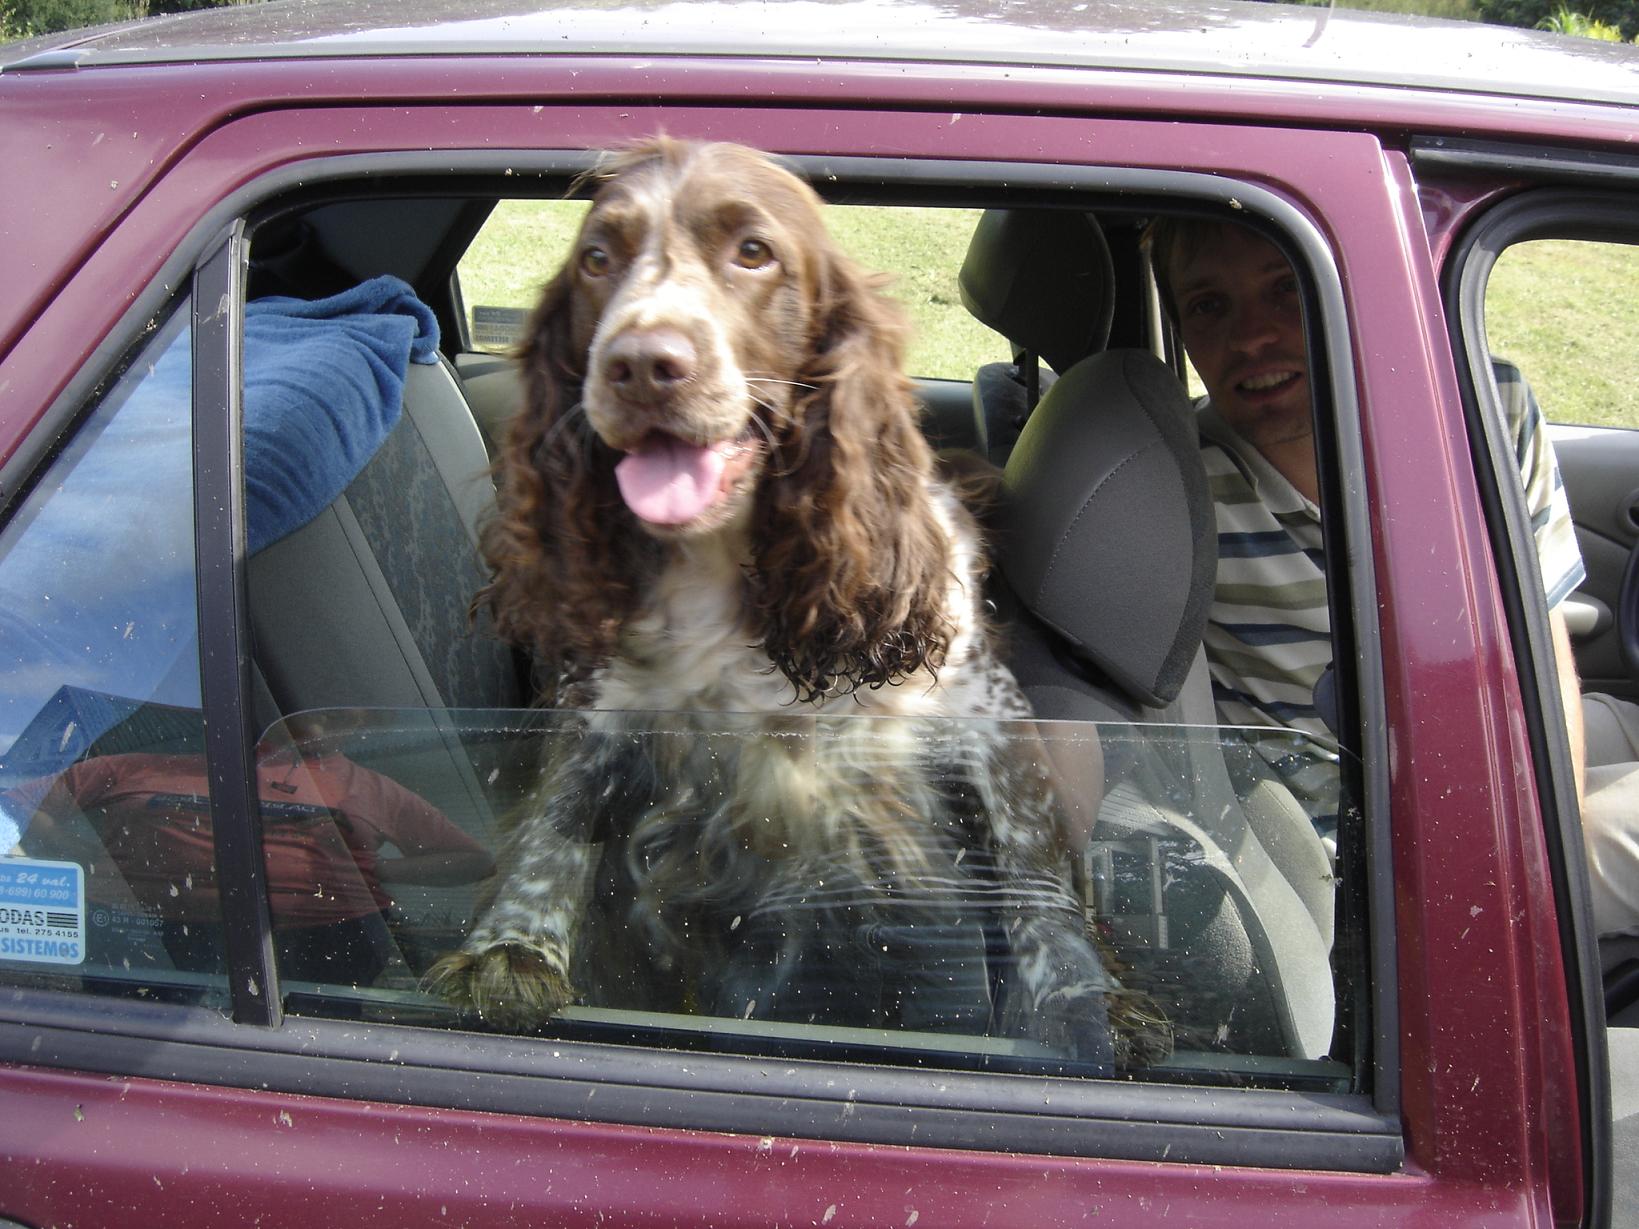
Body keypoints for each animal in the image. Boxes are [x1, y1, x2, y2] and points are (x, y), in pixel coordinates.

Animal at [422, 141, 1121, 1068]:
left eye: (752, 251)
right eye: (597, 259)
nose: (639, 364)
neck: (729, 562)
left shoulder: (980, 710)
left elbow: (1029, 857)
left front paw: (1077, 1000)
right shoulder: (605, 698)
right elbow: (558, 821)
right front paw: (510, 948)